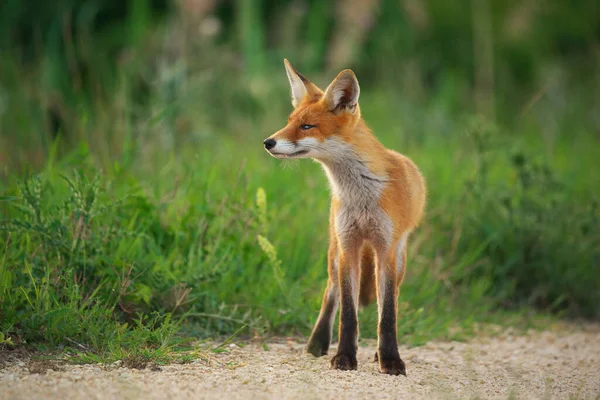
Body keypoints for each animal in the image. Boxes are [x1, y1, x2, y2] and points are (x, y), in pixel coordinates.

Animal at [264, 58, 426, 376]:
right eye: (289, 121)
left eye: (306, 126)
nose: (268, 142)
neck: (361, 196)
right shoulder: (348, 246)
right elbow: (348, 313)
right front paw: (344, 356)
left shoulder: (385, 250)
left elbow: (387, 313)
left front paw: (390, 359)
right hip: (335, 252)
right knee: (331, 293)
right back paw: (317, 344)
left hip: (398, 257)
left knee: (390, 299)